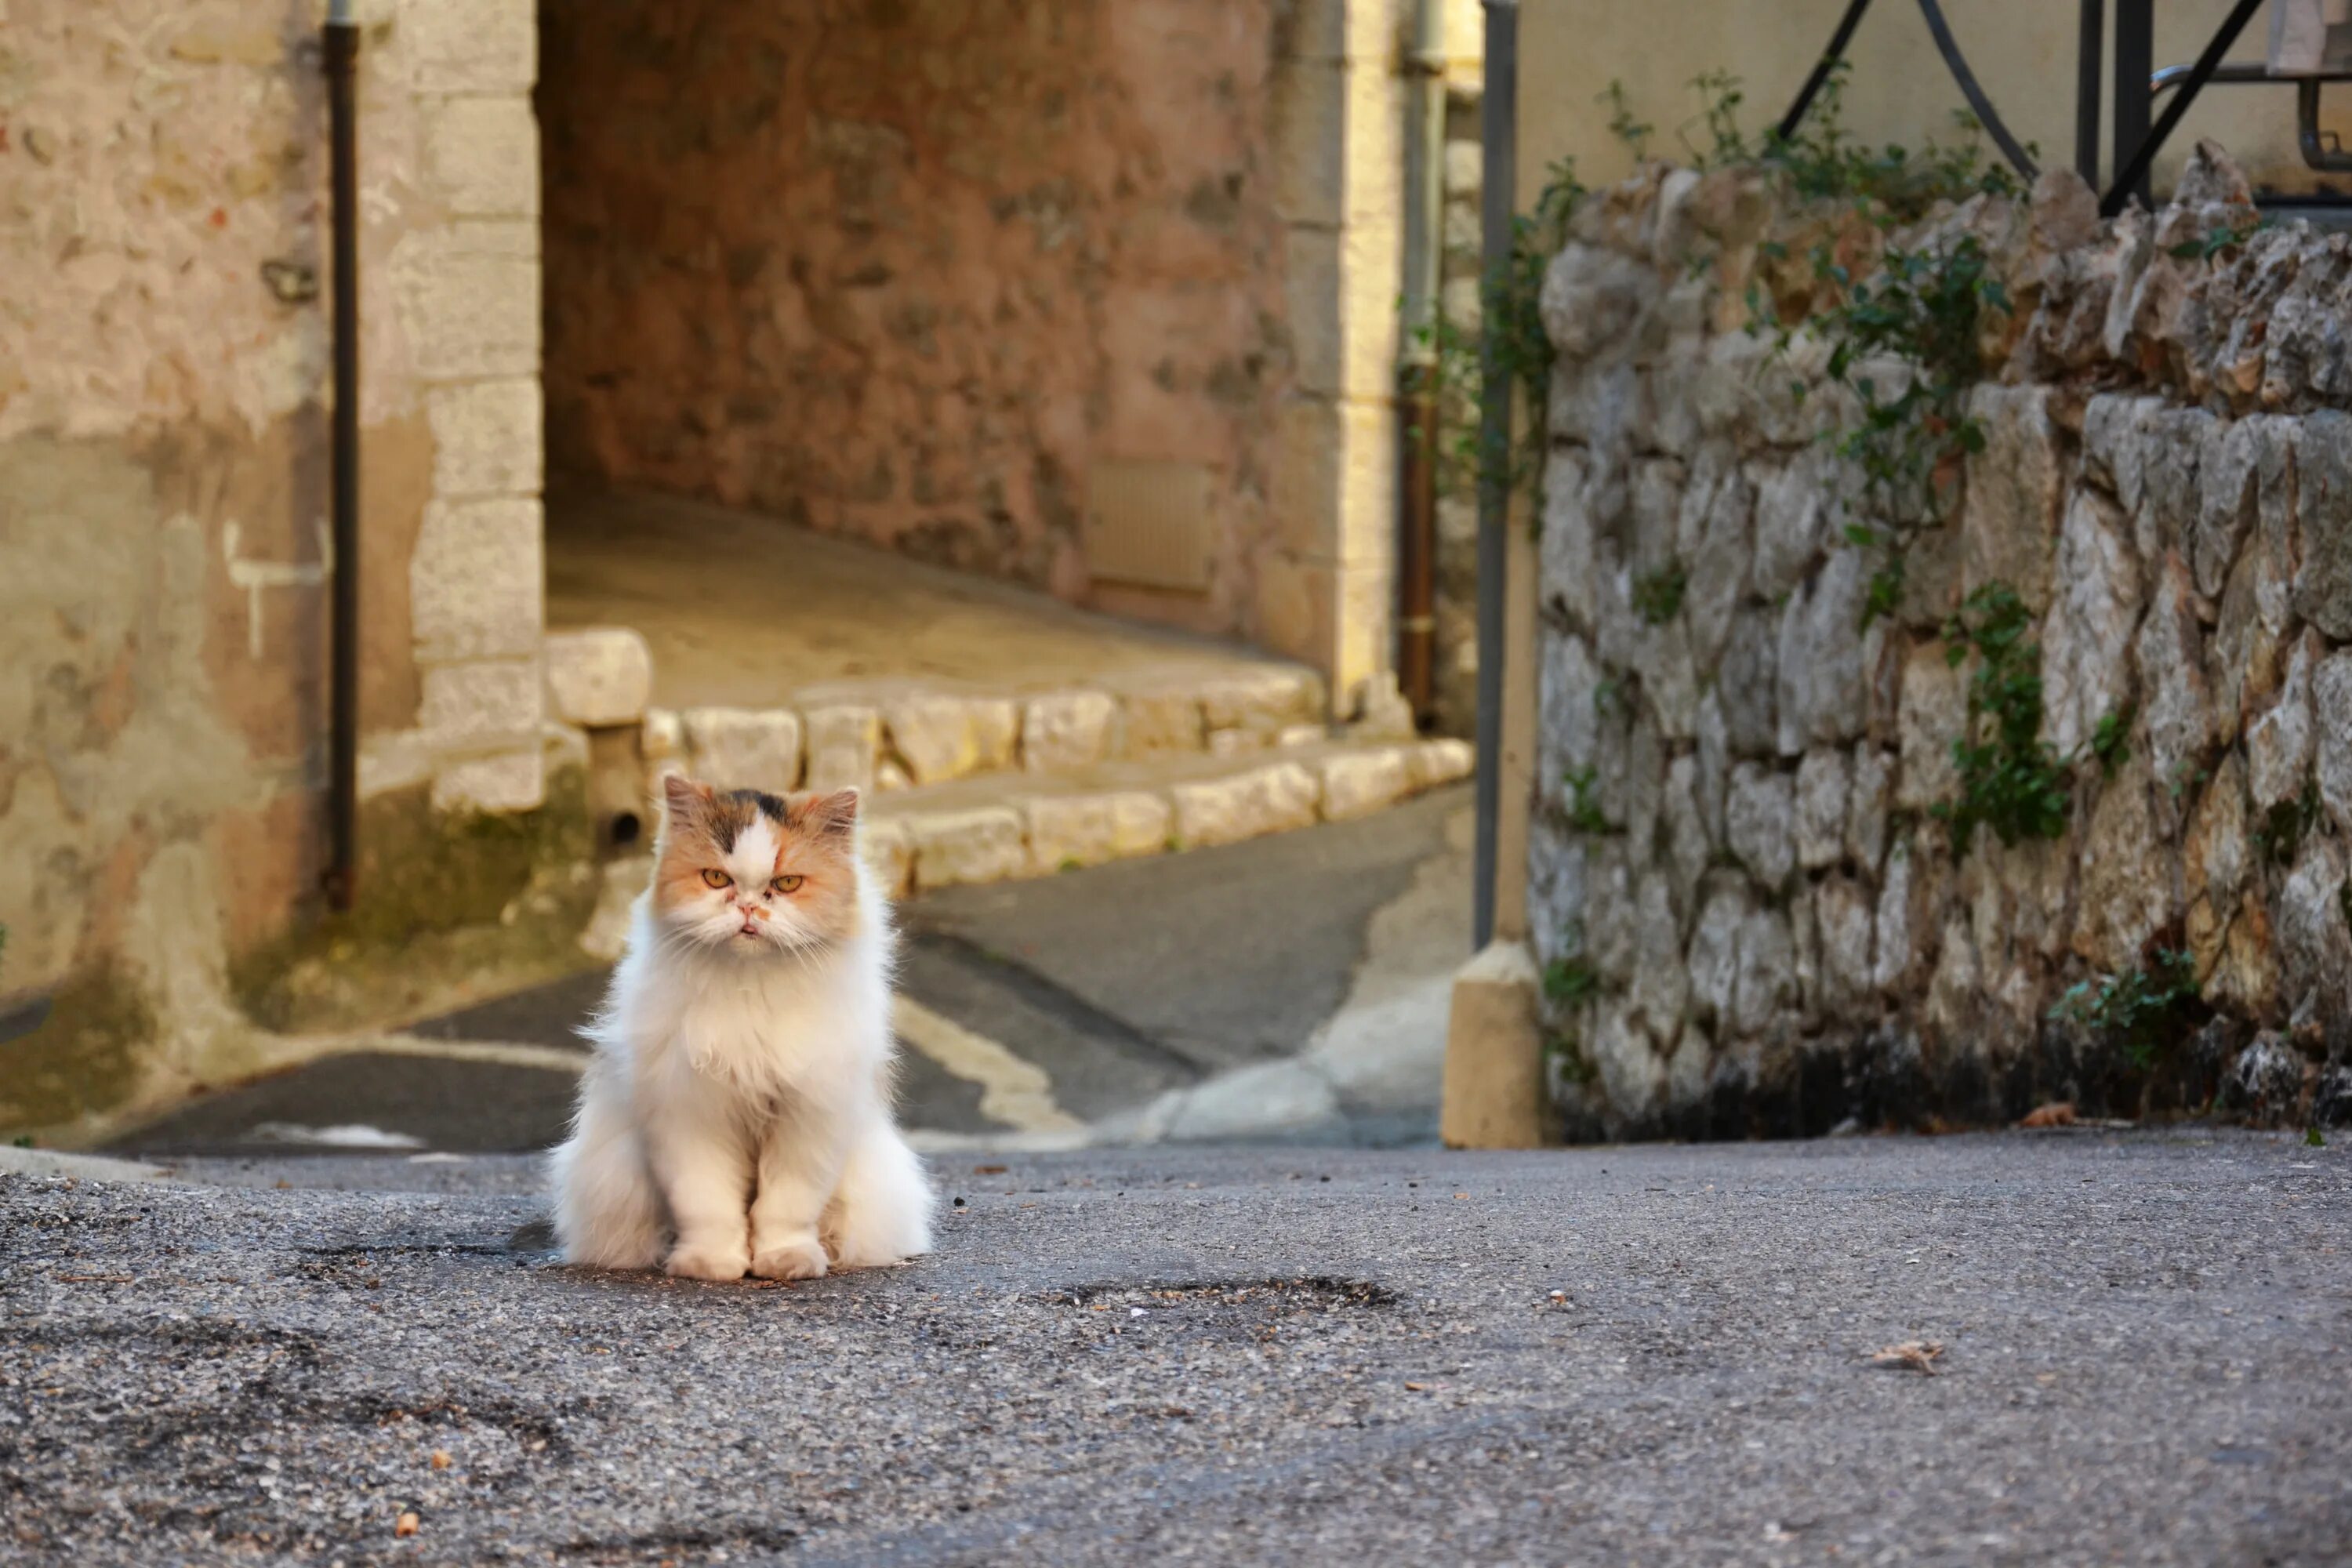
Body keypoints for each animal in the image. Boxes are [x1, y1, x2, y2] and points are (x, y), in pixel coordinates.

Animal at [548, 780, 927, 1279]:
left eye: (786, 884)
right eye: (716, 879)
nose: (748, 907)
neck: (751, 987)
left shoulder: (808, 1114)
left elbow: (786, 1206)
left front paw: (786, 1260)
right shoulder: (692, 1111)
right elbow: (707, 1203)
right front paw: (710, 1263)